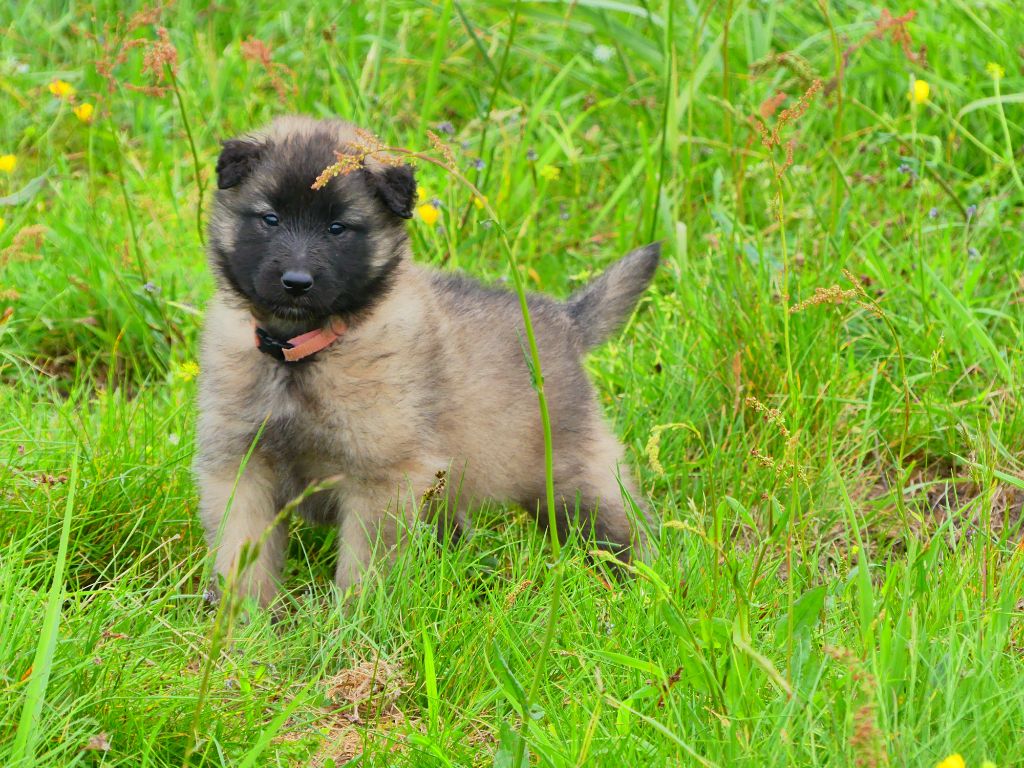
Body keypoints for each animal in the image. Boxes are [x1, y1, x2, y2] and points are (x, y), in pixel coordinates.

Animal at [195, 115, 659, 606]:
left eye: (338, 228)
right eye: (270, 218)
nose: (296, 282)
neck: (299, 353)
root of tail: (568, 320)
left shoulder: (381, 478)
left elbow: (363, 567)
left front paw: (352, 618)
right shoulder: (240, 469)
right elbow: (242, 553)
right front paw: (244, 617)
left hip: (571, 475)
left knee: (621, 525)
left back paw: (646, 584)